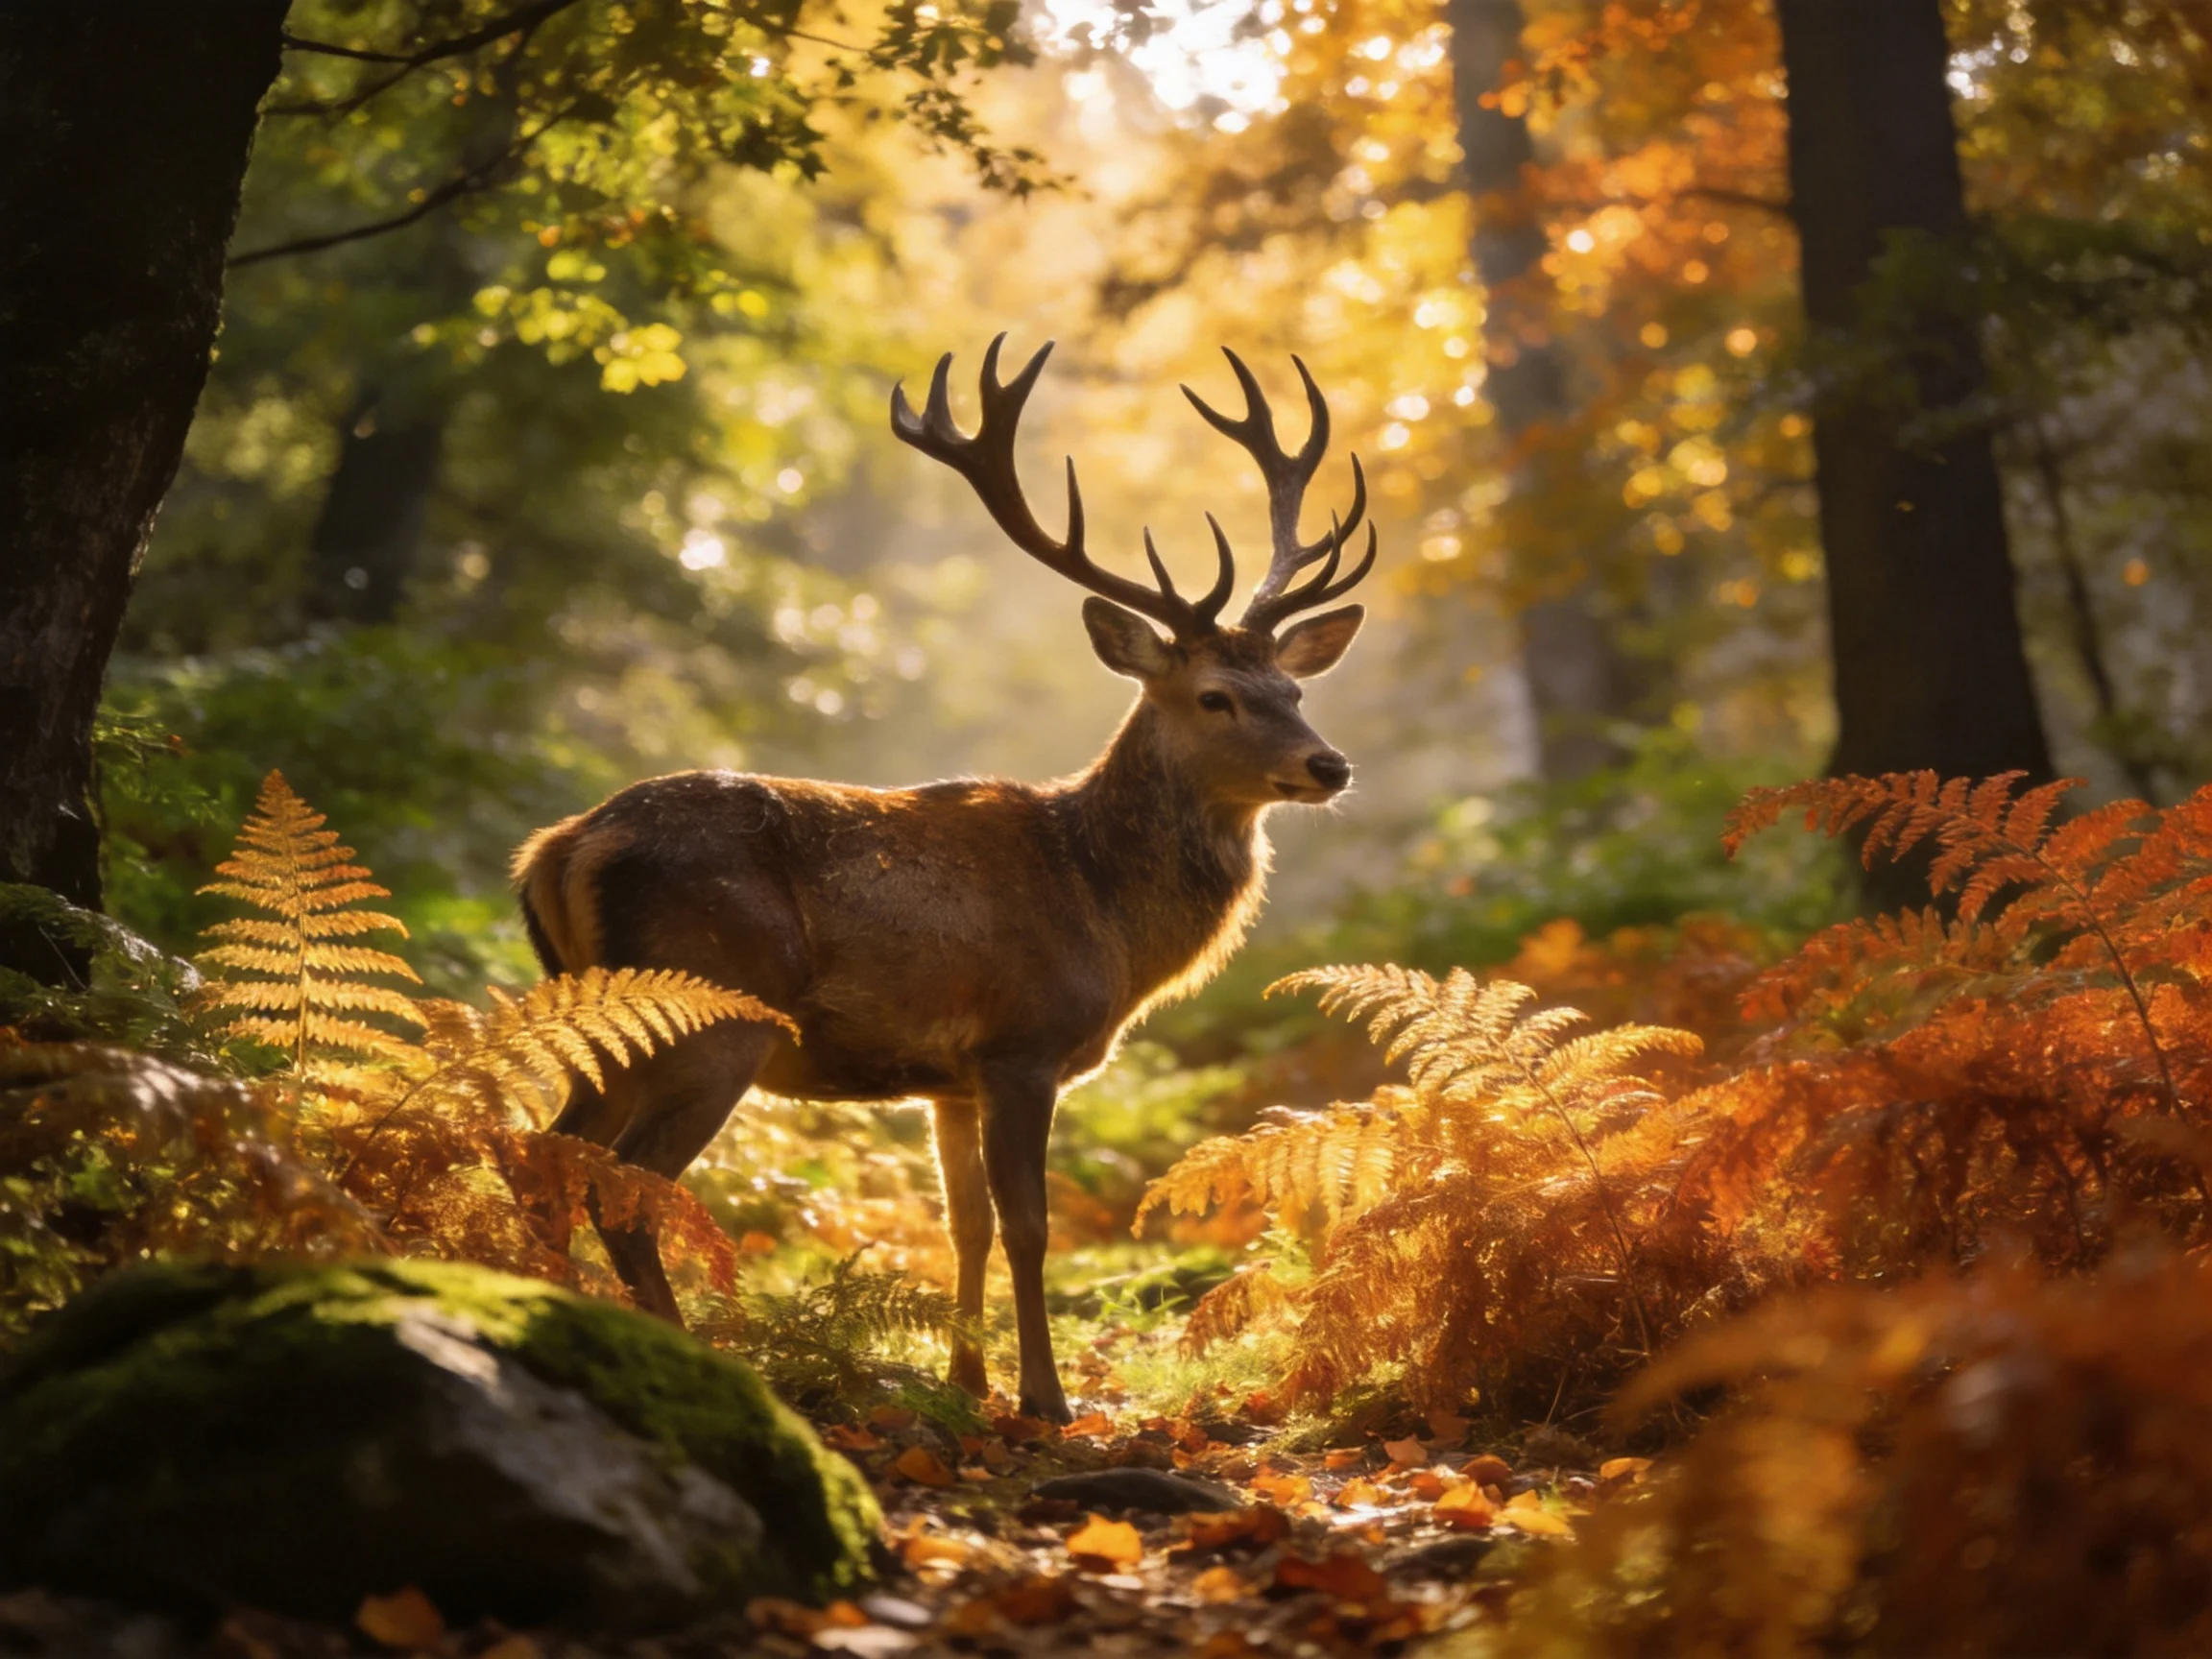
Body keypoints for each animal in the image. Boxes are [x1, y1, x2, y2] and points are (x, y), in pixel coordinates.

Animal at [511, 335, 1376, 1421]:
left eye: (1294, 688)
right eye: (1216, 696)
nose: (1329, 765)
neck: (1102, 906)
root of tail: (557, 848)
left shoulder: (948, 1081)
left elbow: (964, 1224)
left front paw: (966, 1383)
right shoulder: (1020, 1045)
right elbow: (1031, 1225)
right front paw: (1046, 1400)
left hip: (602, 1017)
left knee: (545, 1158)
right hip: (711, 1015)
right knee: (624, 1186)